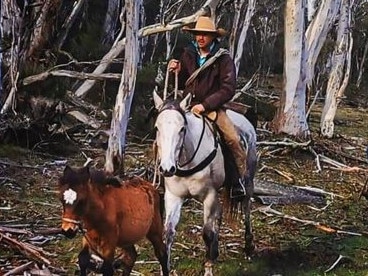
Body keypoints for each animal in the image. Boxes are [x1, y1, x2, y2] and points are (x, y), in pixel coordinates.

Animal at [152, 91, 256, 274]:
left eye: (182, 129)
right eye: (157, 128)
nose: (166, 168)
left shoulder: (209, 196)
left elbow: (207, 233)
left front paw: (208, 268)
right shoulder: (173, 196)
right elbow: (168, 232)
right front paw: (165, 269)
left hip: (248, 179)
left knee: (247, 207)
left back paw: (248, 247)